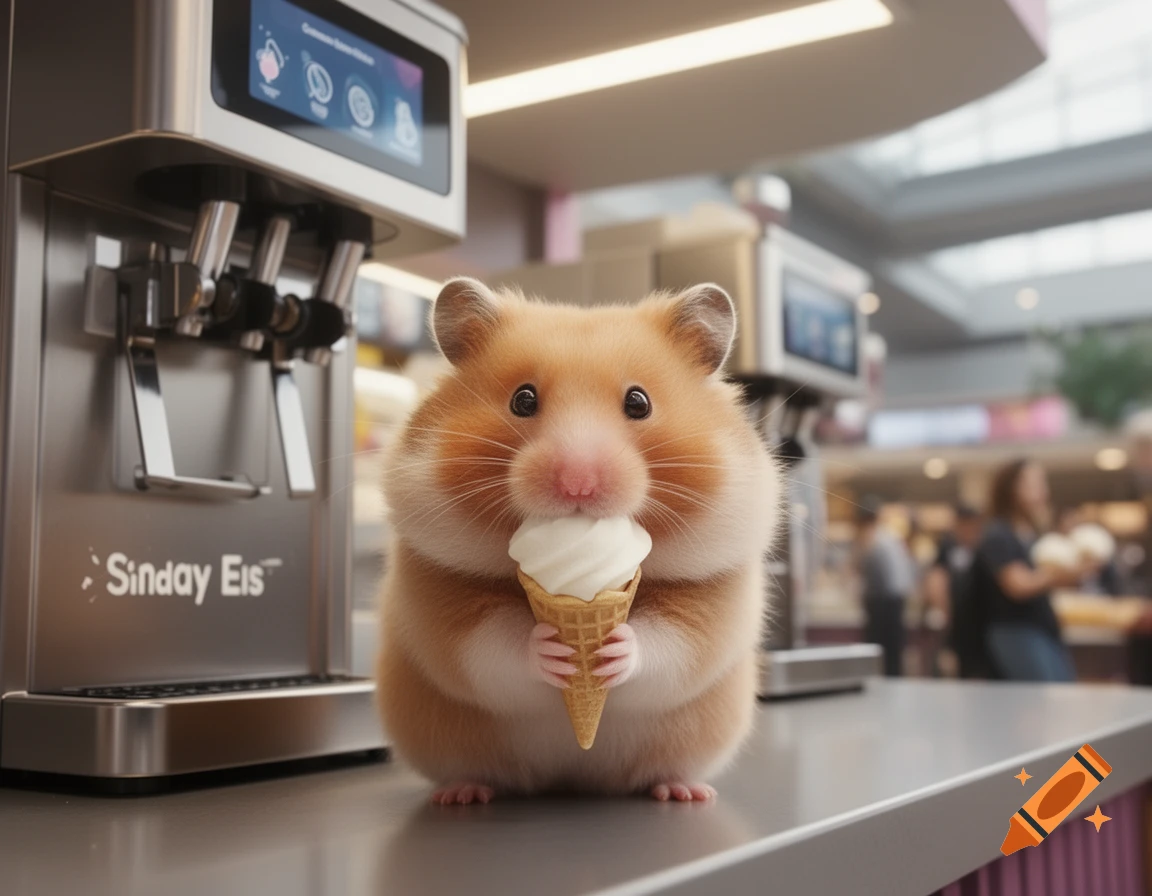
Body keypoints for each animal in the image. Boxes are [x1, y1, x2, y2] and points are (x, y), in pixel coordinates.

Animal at [376, 277, 780, 803]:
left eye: (639, 403)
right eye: (523, 400)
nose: (577, 485)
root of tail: (573, 779)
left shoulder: (711, 603)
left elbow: (672, 646)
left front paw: (615, 648)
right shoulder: (441, 598)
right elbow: (492, 645)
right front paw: (550, 648)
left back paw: (684, 791)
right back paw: (462, 794)